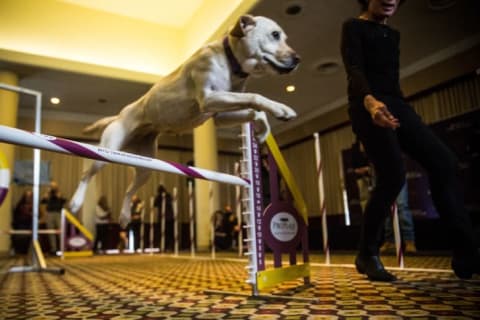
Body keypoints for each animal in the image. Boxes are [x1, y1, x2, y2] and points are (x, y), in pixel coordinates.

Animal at [69, 15, 300, 225]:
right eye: (275, 34)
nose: (298, 59)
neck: (230, 60)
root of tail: (118, 116)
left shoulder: (219, 115)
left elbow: (256, 111)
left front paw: (263, 129)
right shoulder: (209, 98)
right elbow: (256, 96)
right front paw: (281, 108)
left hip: (145, 167)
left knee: (128, 190)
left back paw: (125, 217)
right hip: (104, 152)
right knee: (86, 174)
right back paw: (75, 202)